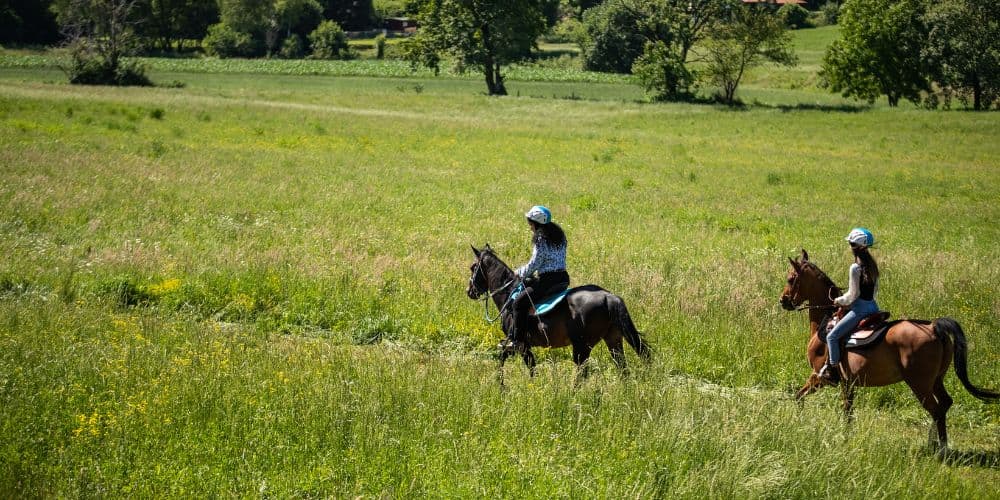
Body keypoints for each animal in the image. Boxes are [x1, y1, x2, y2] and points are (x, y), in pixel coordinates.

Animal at [467, 244, 651, 384]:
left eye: (473, 267)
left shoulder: (520, 344)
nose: (469, 291)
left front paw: (504, 386)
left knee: (582, 374)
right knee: (622, 368)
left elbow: (509, 361)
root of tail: (608, 296)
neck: (509, 295)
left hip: (582, 346)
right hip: (613, 340)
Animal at [779, 249, 999, 452]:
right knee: (944, 404)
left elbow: (799, 396)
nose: (783, 301)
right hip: (936, 380)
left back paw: (940, 449)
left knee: (935, 409)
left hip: (919, 384)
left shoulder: (819, 376)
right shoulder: (847, 382)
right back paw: (935, 444)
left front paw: (800, 421)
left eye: (791, 278)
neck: (825, 321)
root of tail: (934, 327)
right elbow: (848, 410)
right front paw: (846, 436)